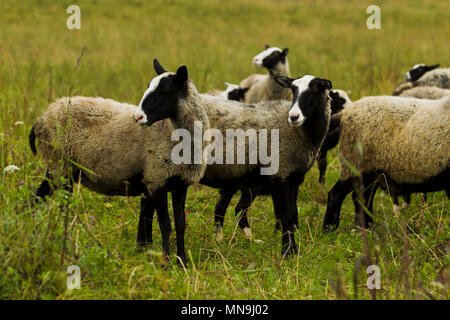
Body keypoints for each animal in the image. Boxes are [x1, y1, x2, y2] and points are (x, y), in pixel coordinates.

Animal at [30, 60, 210, 264]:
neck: (172, 132)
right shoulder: (157, 179)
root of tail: (41, 118)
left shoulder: (180, 184)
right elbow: (165, 224)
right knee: (41, 201)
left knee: (39, 200)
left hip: (61, 169)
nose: (138, 117)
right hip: (59, 166)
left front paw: (182, 261)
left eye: (165, 91)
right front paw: (165, 261)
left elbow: (180, 224)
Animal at [324, 95, 450, 230]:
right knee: (336, 195)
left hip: (371, 172)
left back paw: (367, 228)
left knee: (362, 199)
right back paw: (329, 229)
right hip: (356, 165)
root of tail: (345, 113)